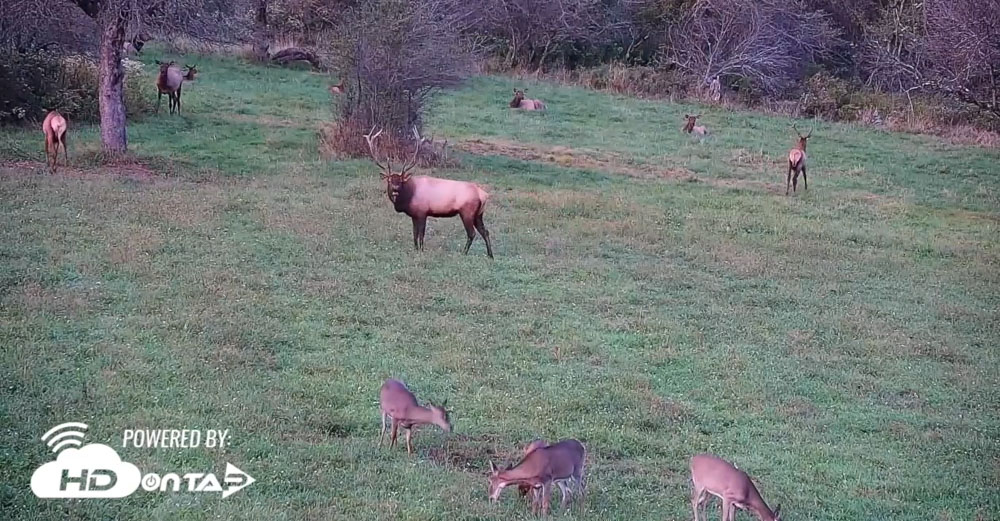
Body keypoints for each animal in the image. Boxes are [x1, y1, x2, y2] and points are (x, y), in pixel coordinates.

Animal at [363, 126, 494, 258]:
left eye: (400, 181)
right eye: (389, 180)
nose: (395, 189)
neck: (409, 196)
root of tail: (484, 195)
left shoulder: (422, 212)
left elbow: (421, 234)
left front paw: (421, 250)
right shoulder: (414, 215)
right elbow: (414, 234)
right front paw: (415, 249)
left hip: (467, 212)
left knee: (472, 233)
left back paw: (464, 253)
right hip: (478, 214)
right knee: (485, 231)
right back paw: (490, 255)